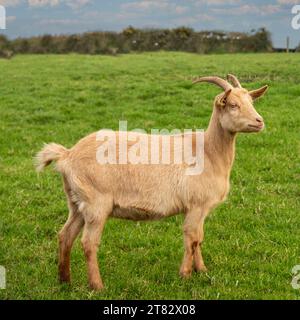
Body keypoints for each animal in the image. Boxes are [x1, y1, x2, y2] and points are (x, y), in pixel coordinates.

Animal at [35, 74, 268, 290]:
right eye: (233, 104)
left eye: (251, 102)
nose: (259, 121)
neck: (208, 151)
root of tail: (68, 155)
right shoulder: (196, 205)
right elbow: (191, 238)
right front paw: (185, 275)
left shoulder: (201, 209)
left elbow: (199, 239)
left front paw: (201, 270)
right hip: (96, 203)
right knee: (88, 243)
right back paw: (97, 286)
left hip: (76, 202)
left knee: (65, 235)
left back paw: (65, 280)